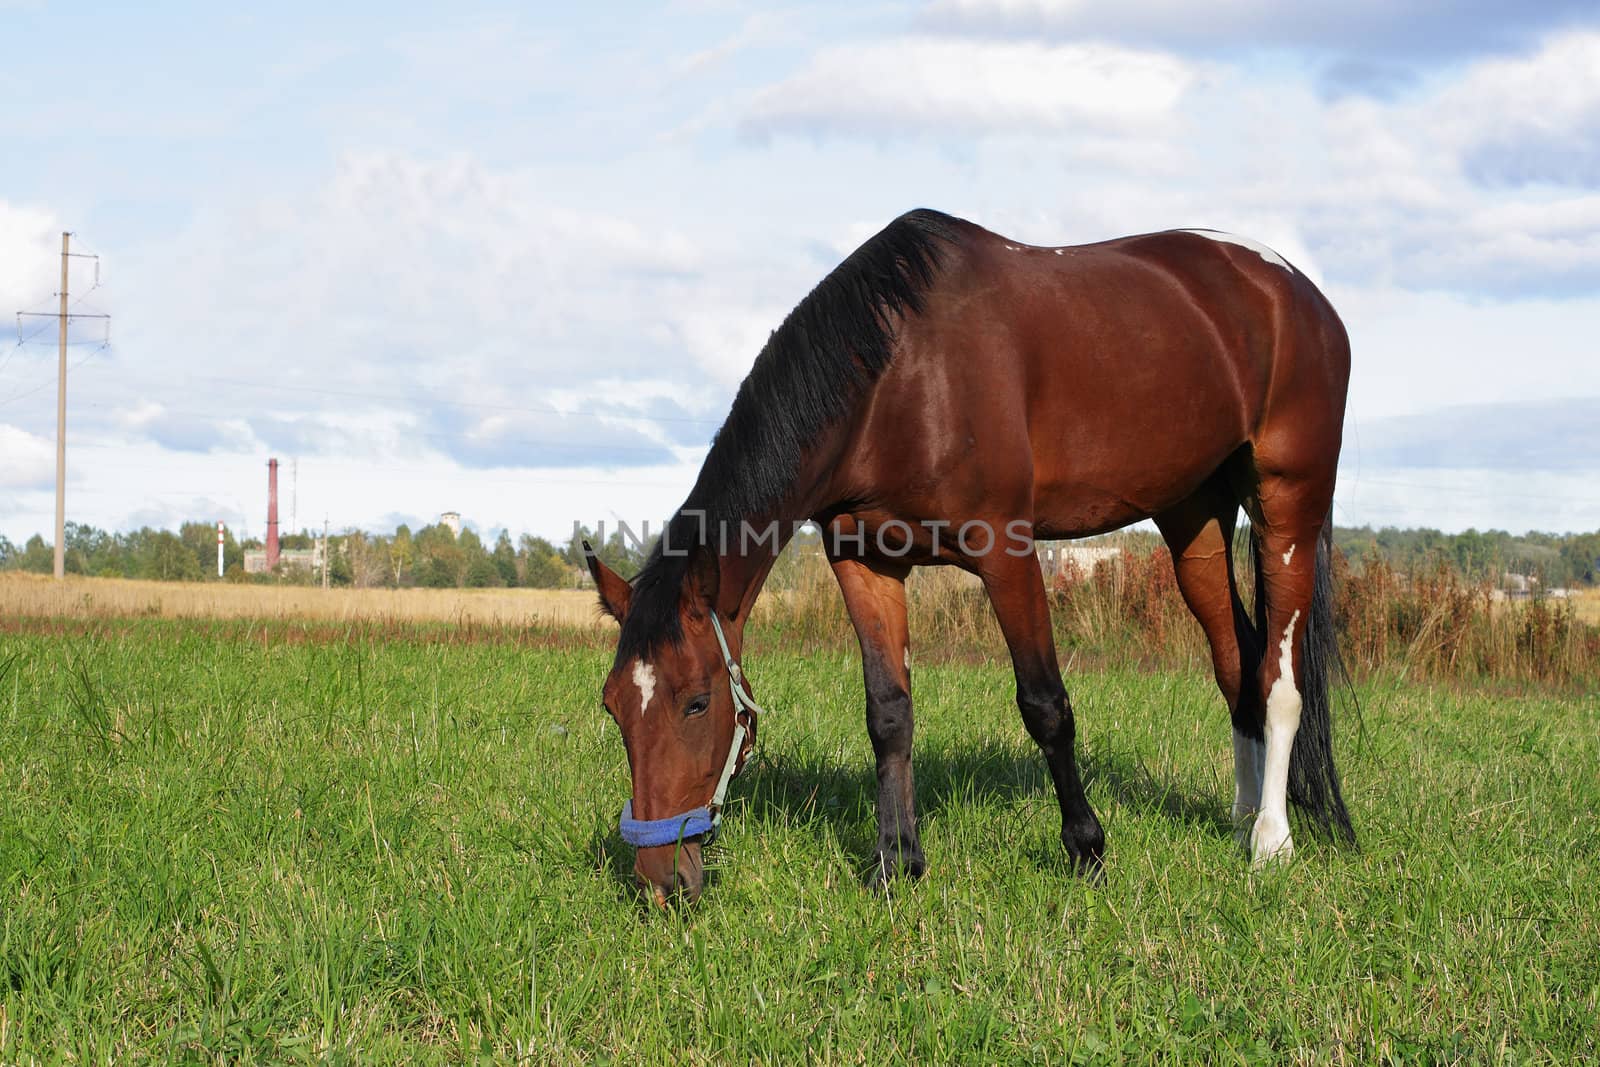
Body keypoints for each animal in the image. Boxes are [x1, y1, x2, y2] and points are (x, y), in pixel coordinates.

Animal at [588, 211, 1350, 908]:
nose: (659, 880)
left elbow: (1046, 705)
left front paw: (1087, 850)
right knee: (1236, 663)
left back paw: (1271, 840)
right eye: (612, 706)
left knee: (1279, 679)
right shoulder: (864, 563)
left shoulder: (1007, 553)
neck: (899, 377)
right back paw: (1241, 817)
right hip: (1193, 518)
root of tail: (1297, 291)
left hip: (1289, 504)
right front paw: (897, 864)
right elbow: (888, 712)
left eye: (697, 701)